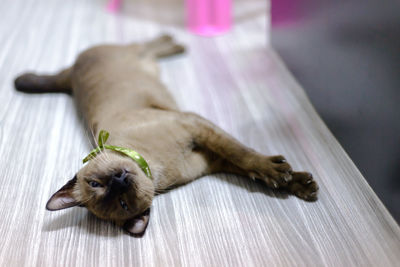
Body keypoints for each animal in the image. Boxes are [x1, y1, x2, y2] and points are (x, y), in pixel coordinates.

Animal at [13, 34, 318, 238]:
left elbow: (244, 154)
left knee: (146, 45)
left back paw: (175, 42)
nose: (118, 180)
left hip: (133, 58)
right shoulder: (213, 160)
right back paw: (176, 42)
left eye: (95, 183)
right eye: (122, 203)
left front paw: (288, 178)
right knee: (148, 49)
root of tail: (71, 79)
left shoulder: (195, 125)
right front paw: (299, 184)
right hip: (142, 63)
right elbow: (248, 168)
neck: (152, 165)